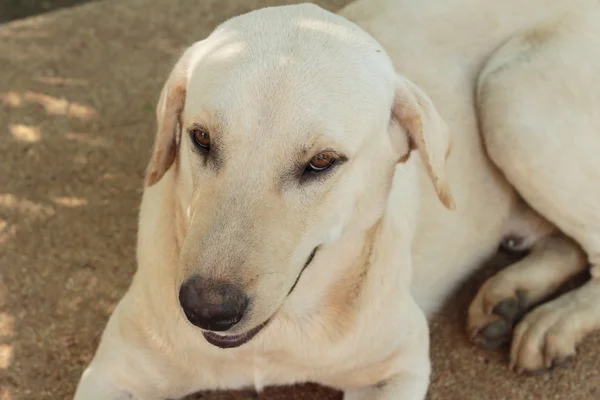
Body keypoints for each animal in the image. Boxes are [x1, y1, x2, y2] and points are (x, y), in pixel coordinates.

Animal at [74, 1, 600, 398]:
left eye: (322, 161)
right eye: (201, 138)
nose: (207, 308)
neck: (278, 335)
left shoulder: (398, 368)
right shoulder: (111, 376)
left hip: (510, 92)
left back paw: (554, 320)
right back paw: (510, 296)